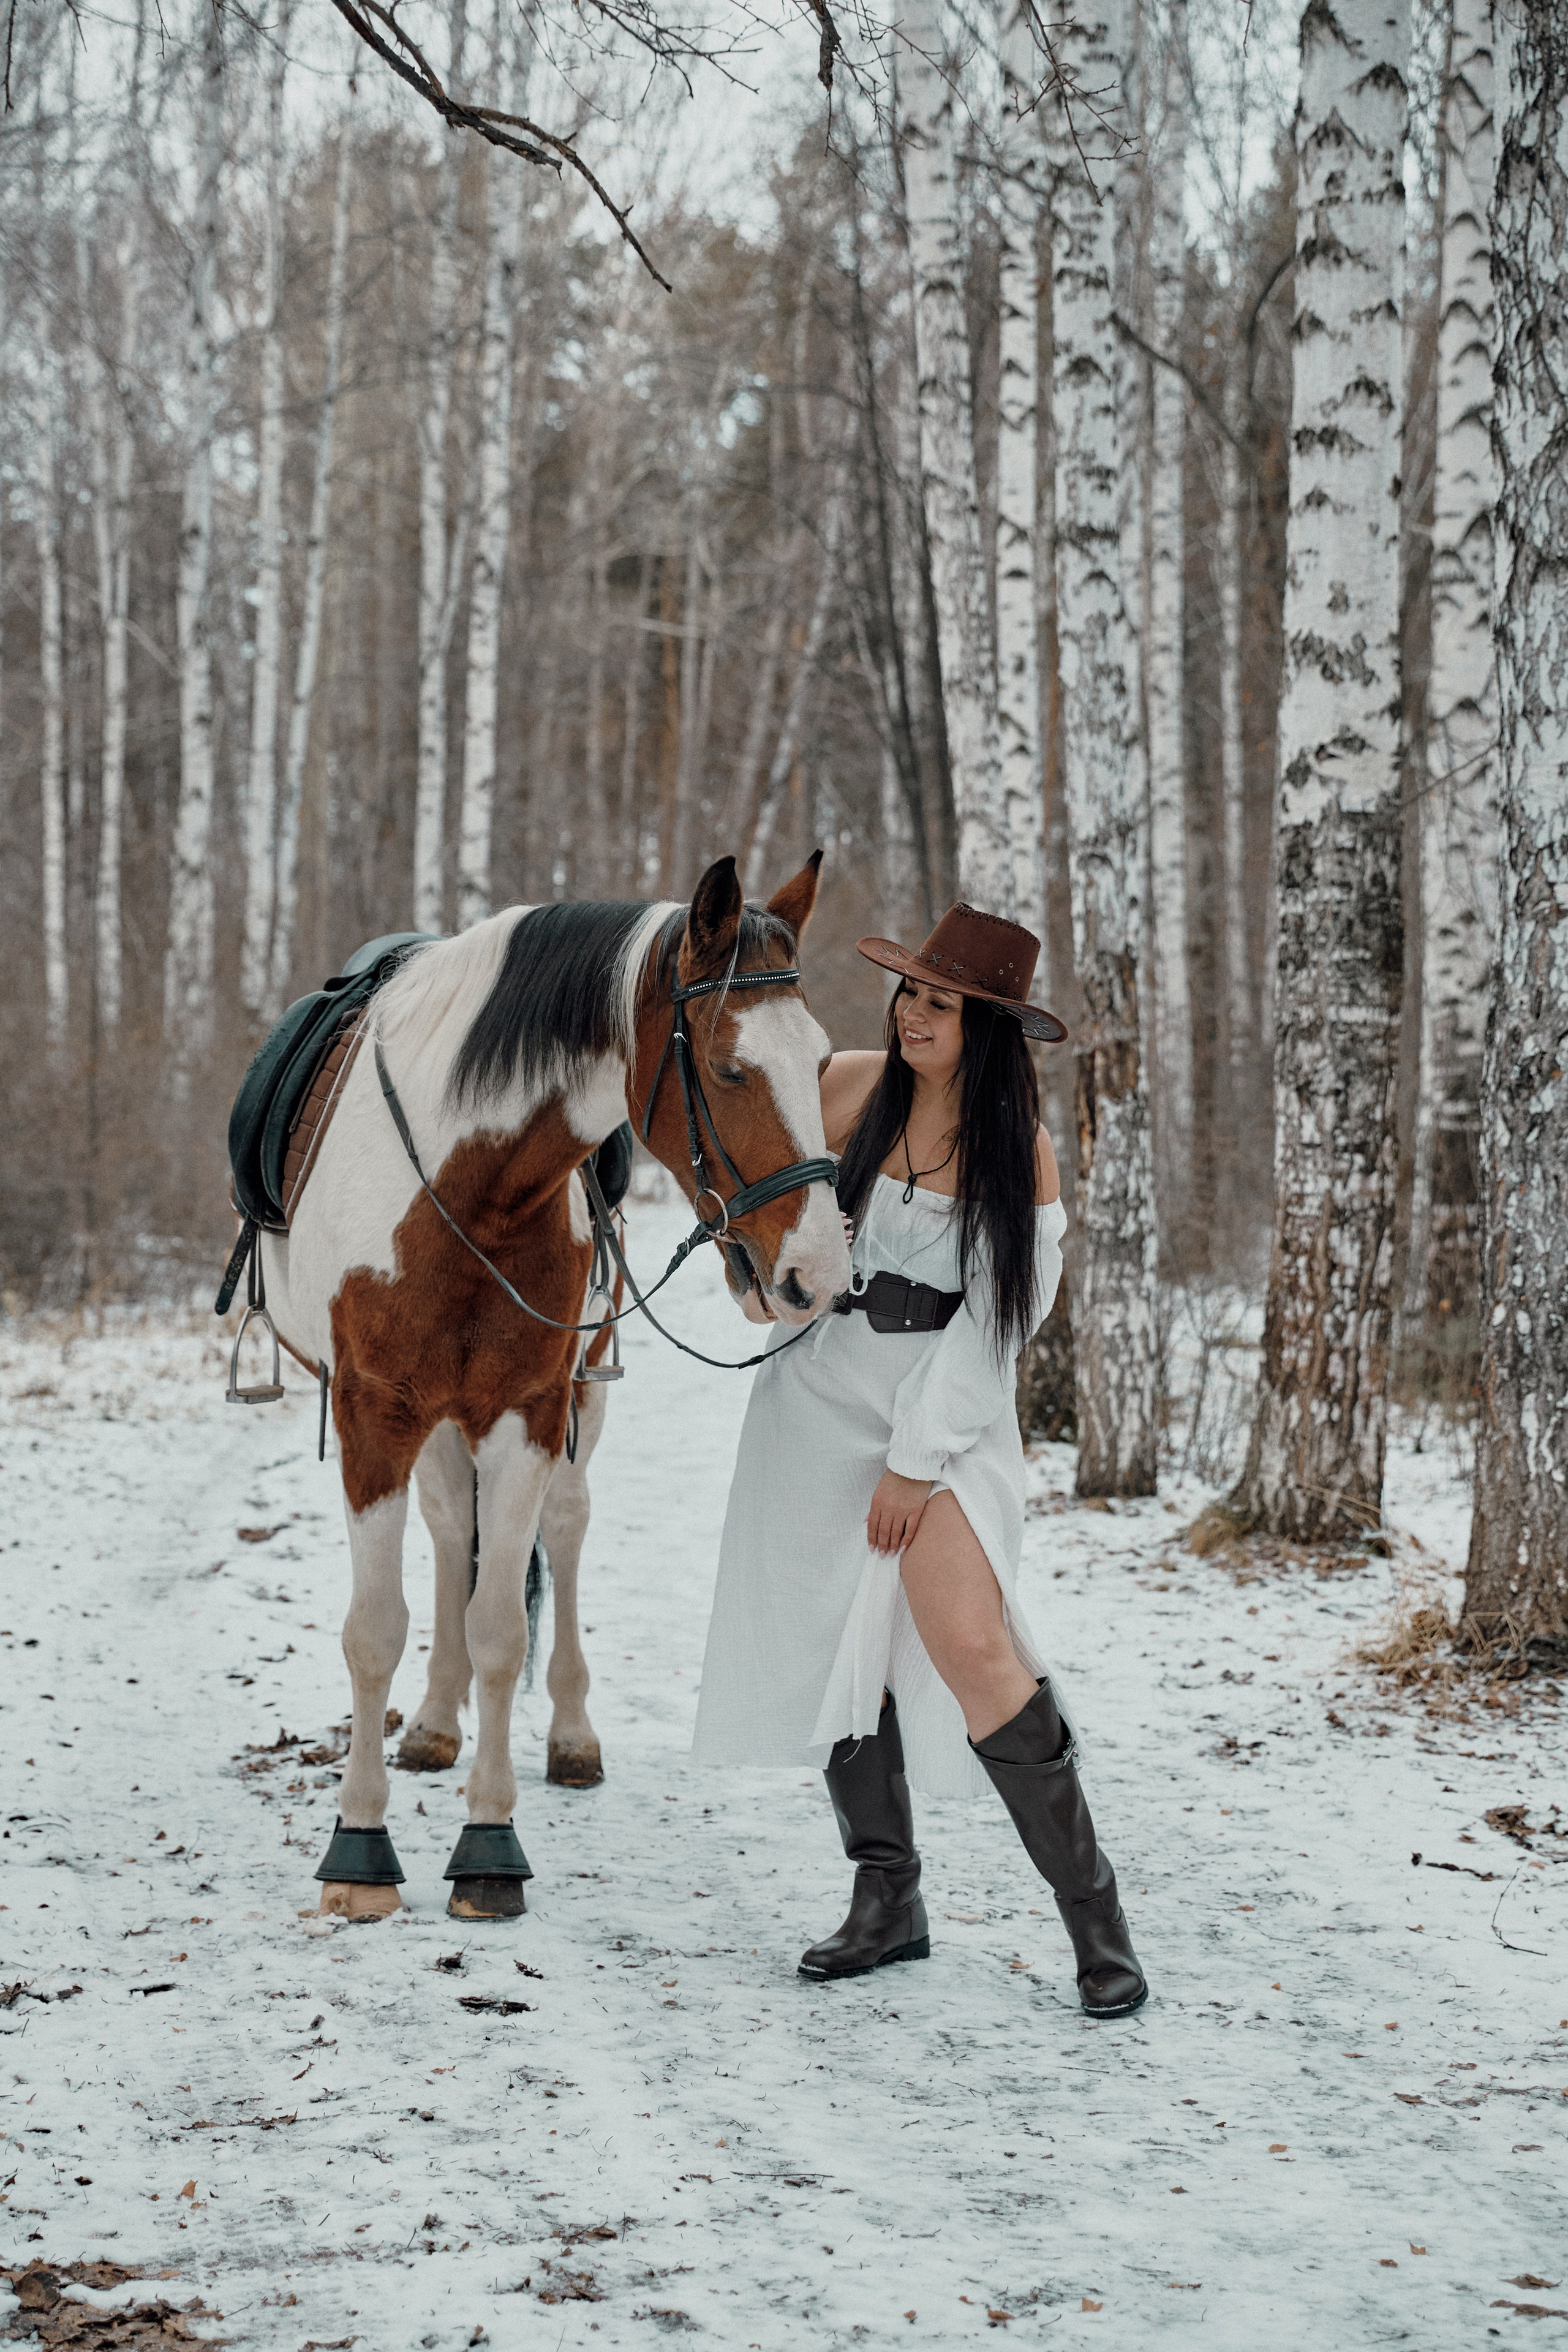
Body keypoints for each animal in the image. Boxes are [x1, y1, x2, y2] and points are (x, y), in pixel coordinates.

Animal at [257, 853, 848, 1920]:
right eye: (729, 1068)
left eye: (821, 1061)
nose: (817, 1275)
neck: (468, 1189)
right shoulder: (376, 1415)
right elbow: (375, 1631)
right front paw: (358, 1848)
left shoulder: (527, 1409)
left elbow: (500, 1624)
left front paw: (490, 1848)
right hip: (433, 1425)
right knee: (448, 1529)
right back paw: (433, 1723)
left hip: (574, 1394)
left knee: (563, 1534)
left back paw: (569, 1735)